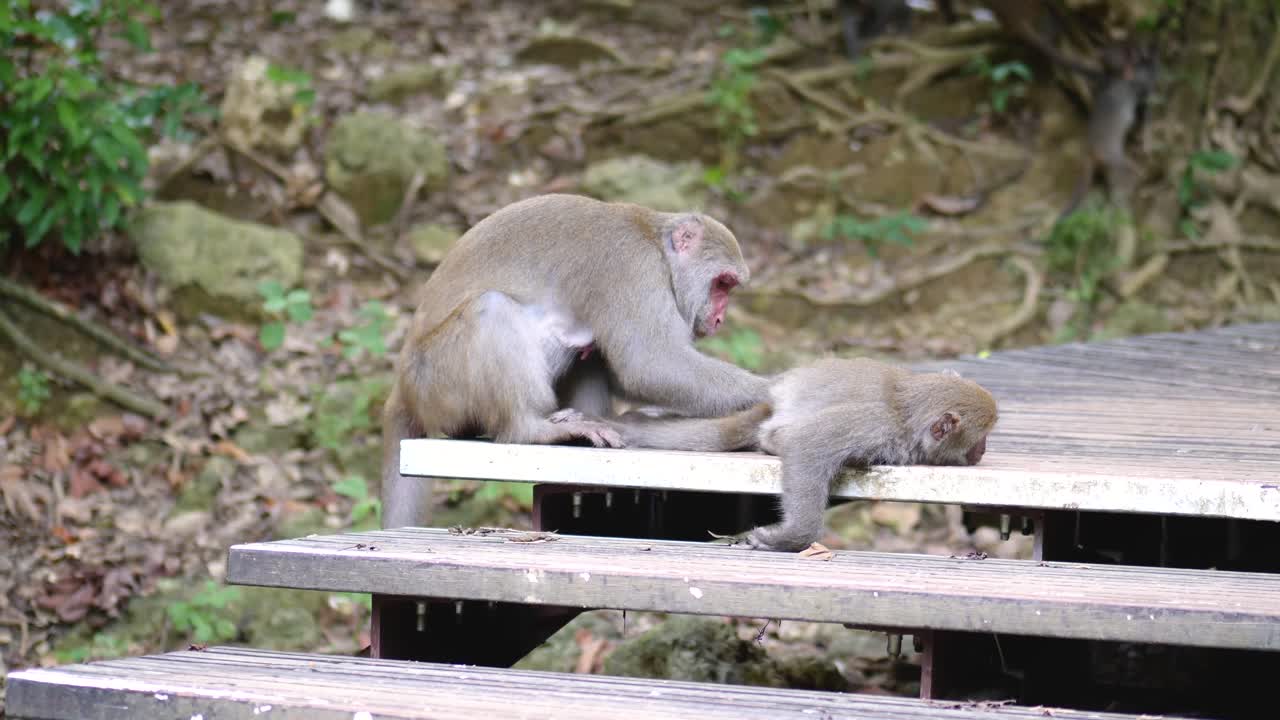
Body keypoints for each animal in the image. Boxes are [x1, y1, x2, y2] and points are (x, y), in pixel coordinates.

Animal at [381, 194, 770, 529]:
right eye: (722, 284)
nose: (719, 318)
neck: (656, 245)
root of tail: (402, 389)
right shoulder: (631, 268)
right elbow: (649, 363)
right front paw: (772, 389)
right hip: (438, 382)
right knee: (491, 310)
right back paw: (530, 429)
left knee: (589, 351)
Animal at [608, 358, 998, 552]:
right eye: (979, 439)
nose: (982, 452)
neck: (907, 412)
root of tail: (775, 393)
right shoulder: (876, 425)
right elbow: (808, 444)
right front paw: (792, 537)